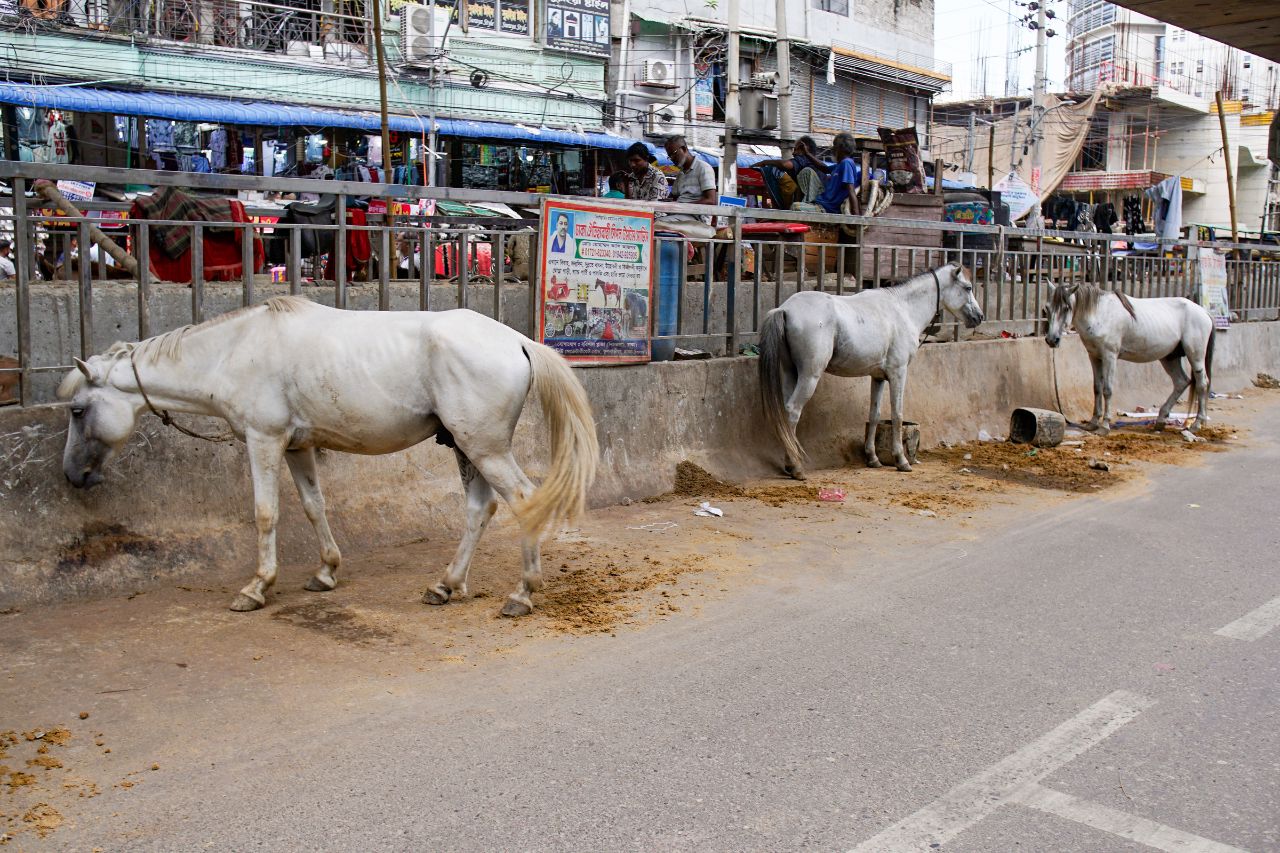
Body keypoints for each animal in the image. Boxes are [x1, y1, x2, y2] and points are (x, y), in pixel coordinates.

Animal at [59, 296, 599, 618]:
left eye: (78, 409)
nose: (72, 476)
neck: (235, 351)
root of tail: (518, 340)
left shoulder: (263, 440)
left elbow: (266, 513)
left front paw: (257, 587)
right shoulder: (297, 447)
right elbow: (313, 506)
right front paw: (325, 572)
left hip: (485, 448)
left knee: (524, 502)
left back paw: (522, 593)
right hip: (468, 447)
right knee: (479, 509)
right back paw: (446, 585)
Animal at [759, 262, 984, 479]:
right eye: (968, 287)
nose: (979, 317)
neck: (902, 310)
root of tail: (785, 309)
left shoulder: (878, 377)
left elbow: (874, 414)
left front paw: (873, 458)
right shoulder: (898, 373)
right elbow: (897, 414)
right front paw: (901, 460)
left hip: (792, 373)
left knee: (786, 413)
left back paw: (789, 464)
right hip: (809, 376)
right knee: (793, 411)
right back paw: (797, 468)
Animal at [1044, 281, 1214, 433]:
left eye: (1066, 308)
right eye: (1047, 308)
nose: (1052, 340)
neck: (1100, 314)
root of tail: (1204, 312)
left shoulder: (1110, 356)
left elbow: (1107, 389)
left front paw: (1105, 425)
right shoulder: (1094, 357)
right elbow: (1097, 388)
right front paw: (1093, 423)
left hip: (1195, 355)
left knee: (1202, 383)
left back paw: (1196, 424)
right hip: (1169, 357)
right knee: (1181, 381)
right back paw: (1160, 420)